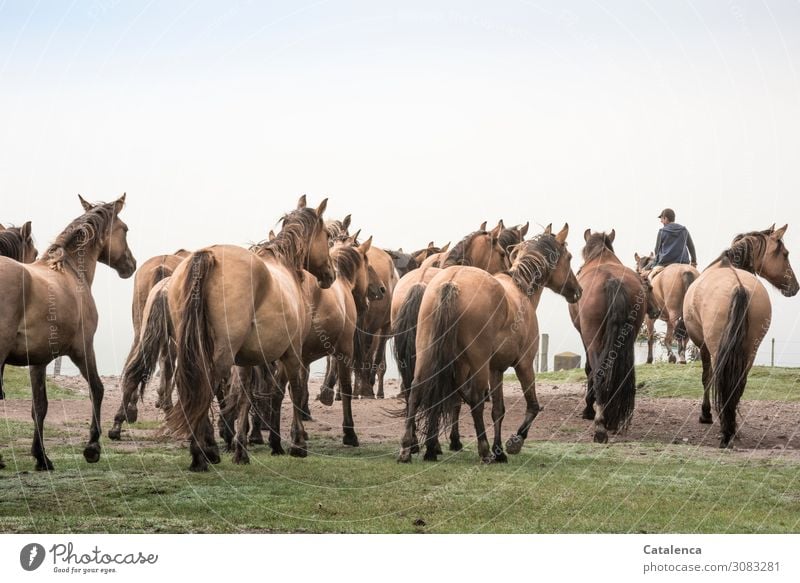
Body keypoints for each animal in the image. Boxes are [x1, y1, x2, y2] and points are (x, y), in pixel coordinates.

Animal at [0, 195, 135, 470]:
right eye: (125, 229)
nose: (132, 265)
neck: (72, 273)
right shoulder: (82, 349)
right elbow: (97, 389)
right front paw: (92, 447)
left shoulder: (38, 361)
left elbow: (39, 407)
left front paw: (41, 457)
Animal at [166, 198, 334, 472]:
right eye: (328, 236)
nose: (331, 275)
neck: (284, 268)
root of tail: (207, 255)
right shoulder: (292, 353)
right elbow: (296, 390)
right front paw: (298, 444)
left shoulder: (245, 361)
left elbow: (245, 397)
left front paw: (241, 450)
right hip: (220, 356)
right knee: (205, 389)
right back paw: (202, 453)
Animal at [400, 226, 580, 464]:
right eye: (569, 257)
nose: (577, 291)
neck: (520, 289)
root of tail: (452, 281)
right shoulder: (524, 365)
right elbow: (531, 406)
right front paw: (513, 443)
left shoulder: (496, 369)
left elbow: (498, 410)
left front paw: (499, 450)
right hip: (478, 363)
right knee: (475, 400)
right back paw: (483, 450)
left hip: (427, 354)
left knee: (416, 392)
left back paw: (409, 449)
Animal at [568, 230, 648, 444]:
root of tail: (613, 281)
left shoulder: (583, 336)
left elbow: (588, 369)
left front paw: (588, 409)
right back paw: (611, 420)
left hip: (593, 339)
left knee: (598, 373)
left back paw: (600, 426)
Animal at [680, 227, 800, 448]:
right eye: (786, 254)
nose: (795, 287)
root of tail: (738, 287)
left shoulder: (703, 347)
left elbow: (706, 378)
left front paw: (705, 414)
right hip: (749, 351)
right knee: (738, 383)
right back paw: (731, 428)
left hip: (717, 349)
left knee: (720, 380)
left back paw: (725, 430)